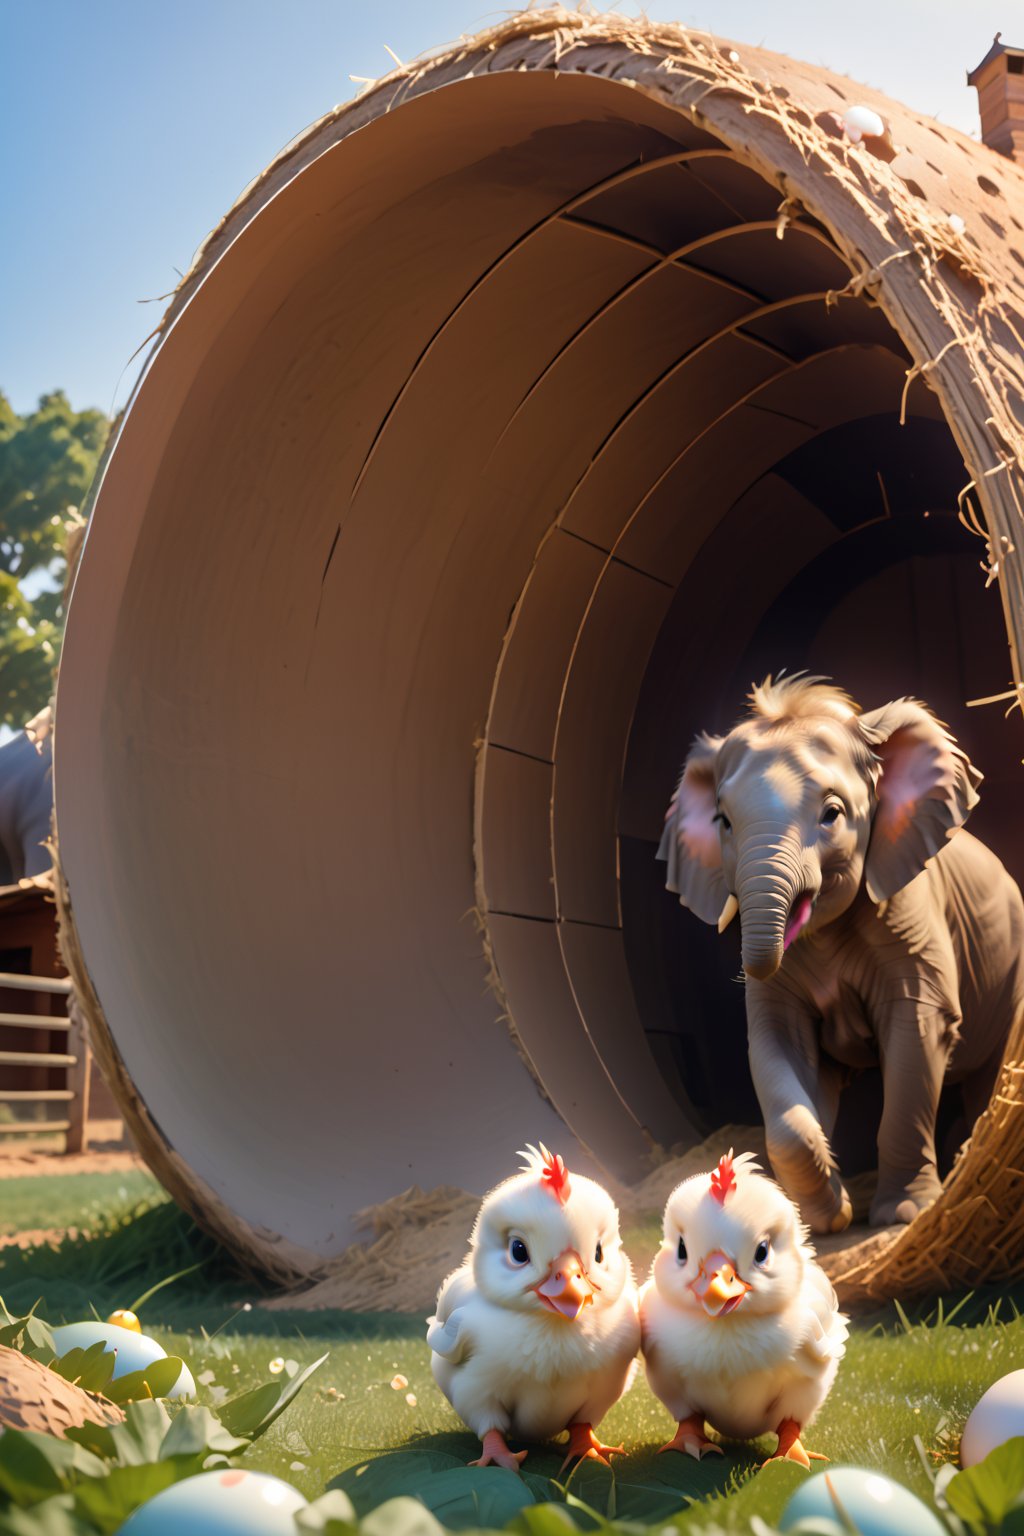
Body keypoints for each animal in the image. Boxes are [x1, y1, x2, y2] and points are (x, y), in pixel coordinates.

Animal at [666, 678, 1024, 1228]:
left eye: (832, 815)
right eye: (723, 821)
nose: (746, 967)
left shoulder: (911, 925)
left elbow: (918, 1031)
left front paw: (902, 1214)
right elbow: (776, 1044)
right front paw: (827, 1218)